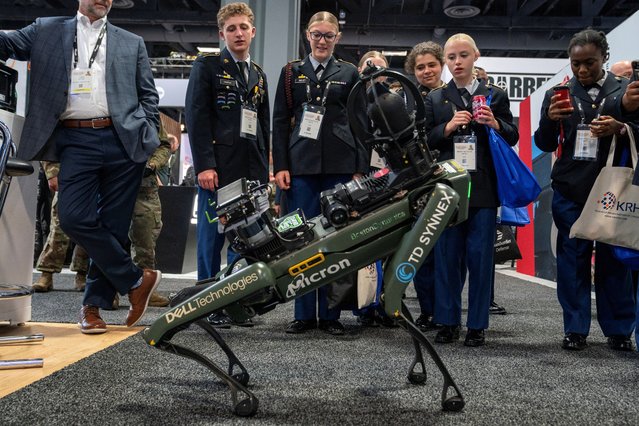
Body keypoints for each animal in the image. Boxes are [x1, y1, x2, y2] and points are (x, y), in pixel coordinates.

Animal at [142, 65, 470, 416]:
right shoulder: (435, 197)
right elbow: (395, 305)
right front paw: (452, 394)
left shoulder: (429, 203)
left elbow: (395, 306)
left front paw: (426, 375)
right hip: (254, 278)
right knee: (158, 332)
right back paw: (239, 391)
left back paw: (234, 374)